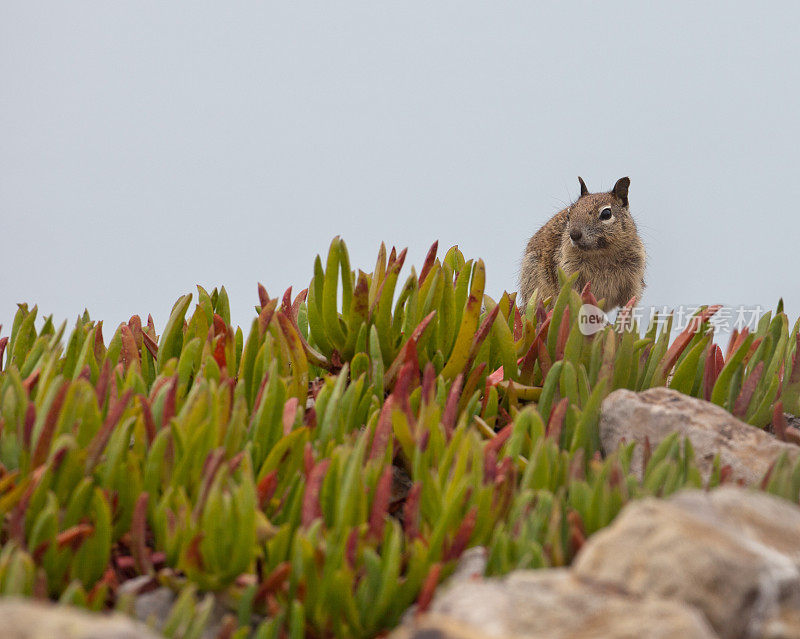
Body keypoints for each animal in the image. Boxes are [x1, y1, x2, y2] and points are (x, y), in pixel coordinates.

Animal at [520, 178, 644, 310]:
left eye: (606, 214)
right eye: (569, 214)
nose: (574, 234)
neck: (600, 254)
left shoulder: (633, 282)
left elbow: (628, 305)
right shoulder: (570, 275)